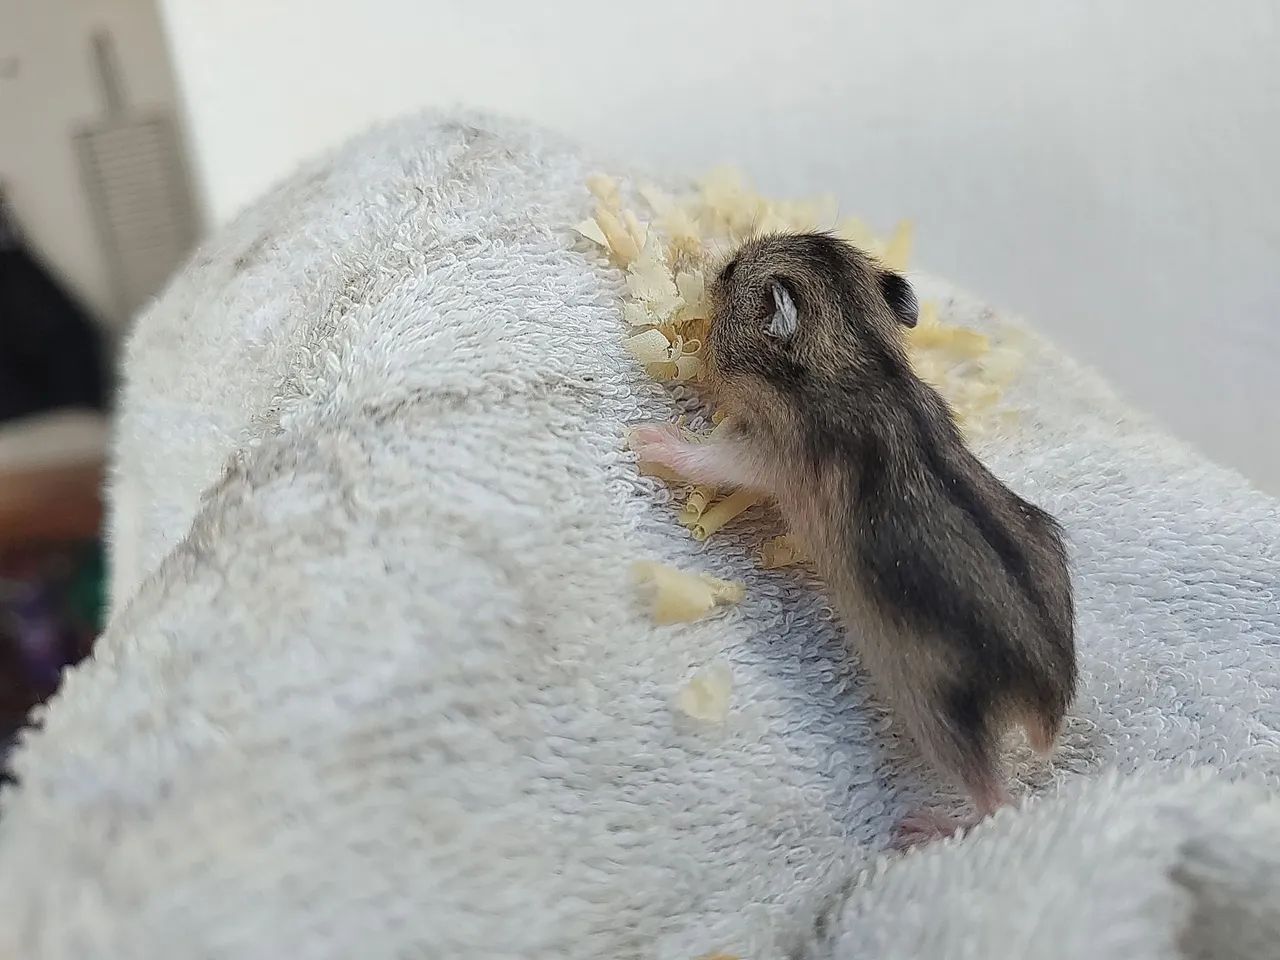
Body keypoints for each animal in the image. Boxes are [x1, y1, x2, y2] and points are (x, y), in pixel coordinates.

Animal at [630, 232, 1076, 844]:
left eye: (731, 271)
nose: (715, 261)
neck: (852, 349)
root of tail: (1047, 695)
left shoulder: (765, 453)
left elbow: (713, 458)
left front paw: (646, 440)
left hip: (939, 712)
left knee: (996, 800)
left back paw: (921, 828)